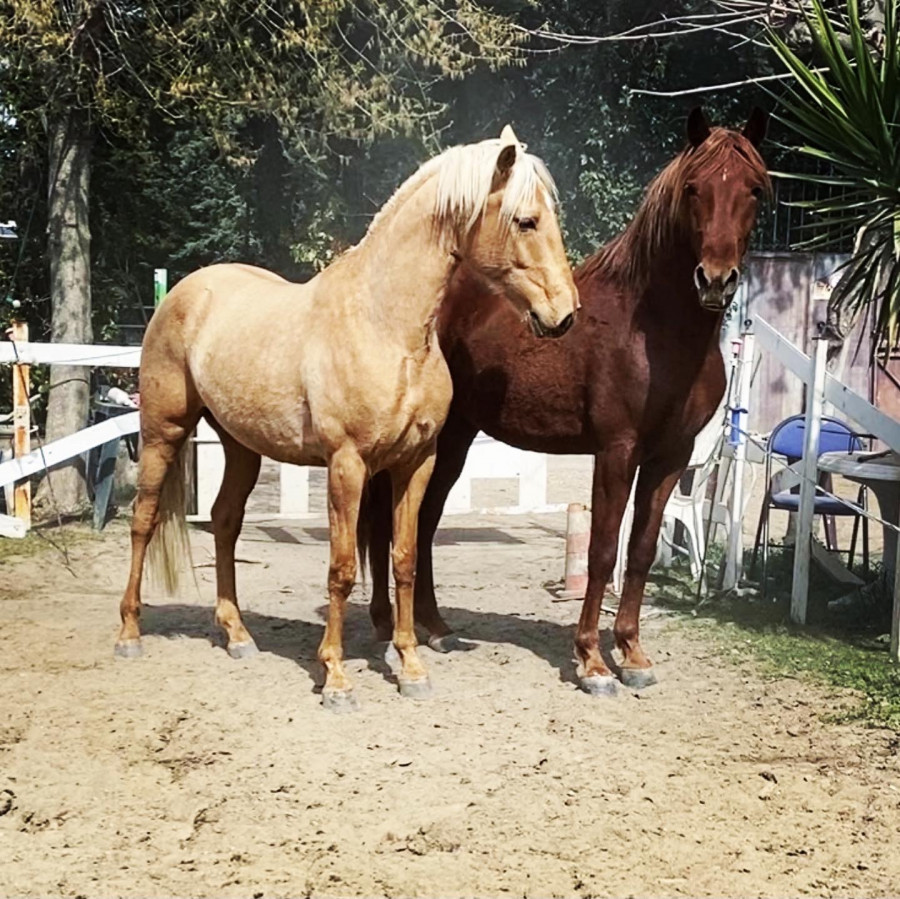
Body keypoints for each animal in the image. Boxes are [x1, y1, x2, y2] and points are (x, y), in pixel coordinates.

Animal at [114, 126, 579, 711]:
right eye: (526, 220)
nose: (565, 315)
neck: (385, 327)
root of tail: (184, 291)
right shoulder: (347, 465)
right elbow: (340, 568)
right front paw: (335, 676)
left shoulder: (415, 464)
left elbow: (404, 558)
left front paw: (411, 667)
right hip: (164, 432)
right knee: (143, 520)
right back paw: (129, 633)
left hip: (240, 446)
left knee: (224, 522)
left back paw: (237, 635)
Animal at [362, 108, 770, 696]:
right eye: (694, 189)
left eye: (755, 189)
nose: (715, 280)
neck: (655, 330)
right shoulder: (617, 451)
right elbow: (601, 551)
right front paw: (593, 662)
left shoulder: (671, 456)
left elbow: (640, 551)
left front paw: (633, 654)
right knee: (392, 521)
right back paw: (387, 624)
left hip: (455, 438)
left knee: (425, 520)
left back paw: (434, 627)